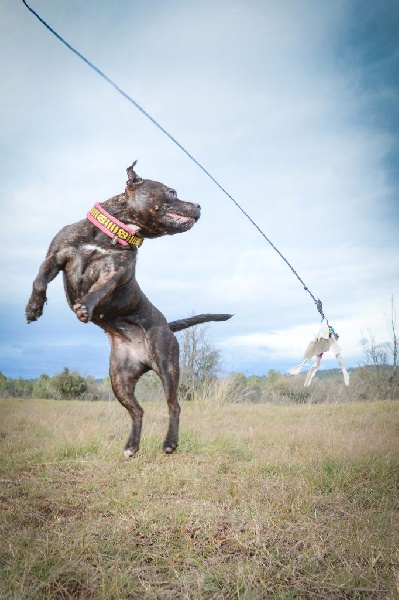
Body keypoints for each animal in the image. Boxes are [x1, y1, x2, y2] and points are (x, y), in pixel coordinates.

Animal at [25, 164, 231, 454]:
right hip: (119, 381)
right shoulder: (54, 258)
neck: (111, 233)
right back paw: (132, 446)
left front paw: (85, 306)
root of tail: (167, 327)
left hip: (167, 367)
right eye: (171, 192)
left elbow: (98, 289)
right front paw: (33, 307)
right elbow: (39, 280)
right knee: (138, 411)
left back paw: (170, 443)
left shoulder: (114, 273)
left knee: (174, 406)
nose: (199, 205)